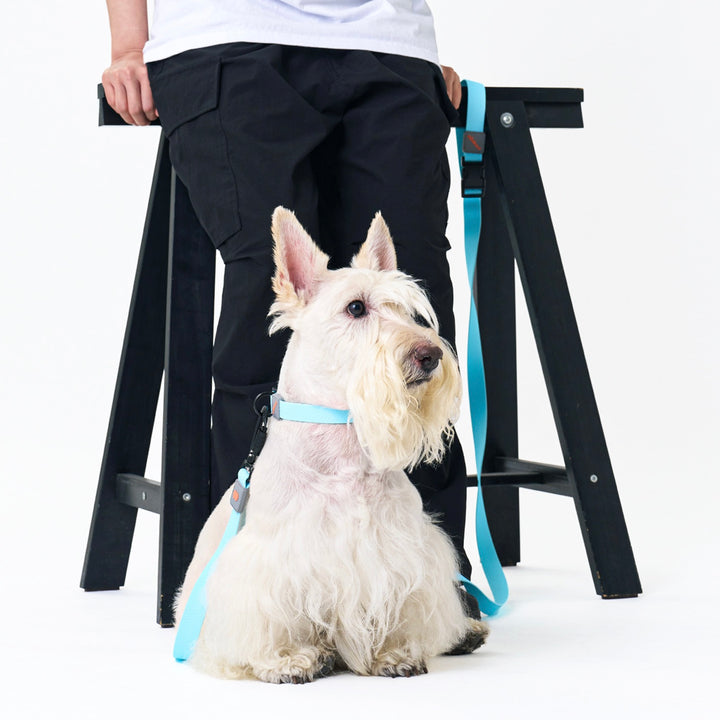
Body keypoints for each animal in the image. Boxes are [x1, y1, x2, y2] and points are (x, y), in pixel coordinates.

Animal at [175, 207, 489, 682]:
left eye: (406, 310)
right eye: (356, 307)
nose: (429, 356)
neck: (344, 451)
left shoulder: (402, 553)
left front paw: (393, 653)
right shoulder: (270, 567)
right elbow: (270, 618)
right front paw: (287, 659)